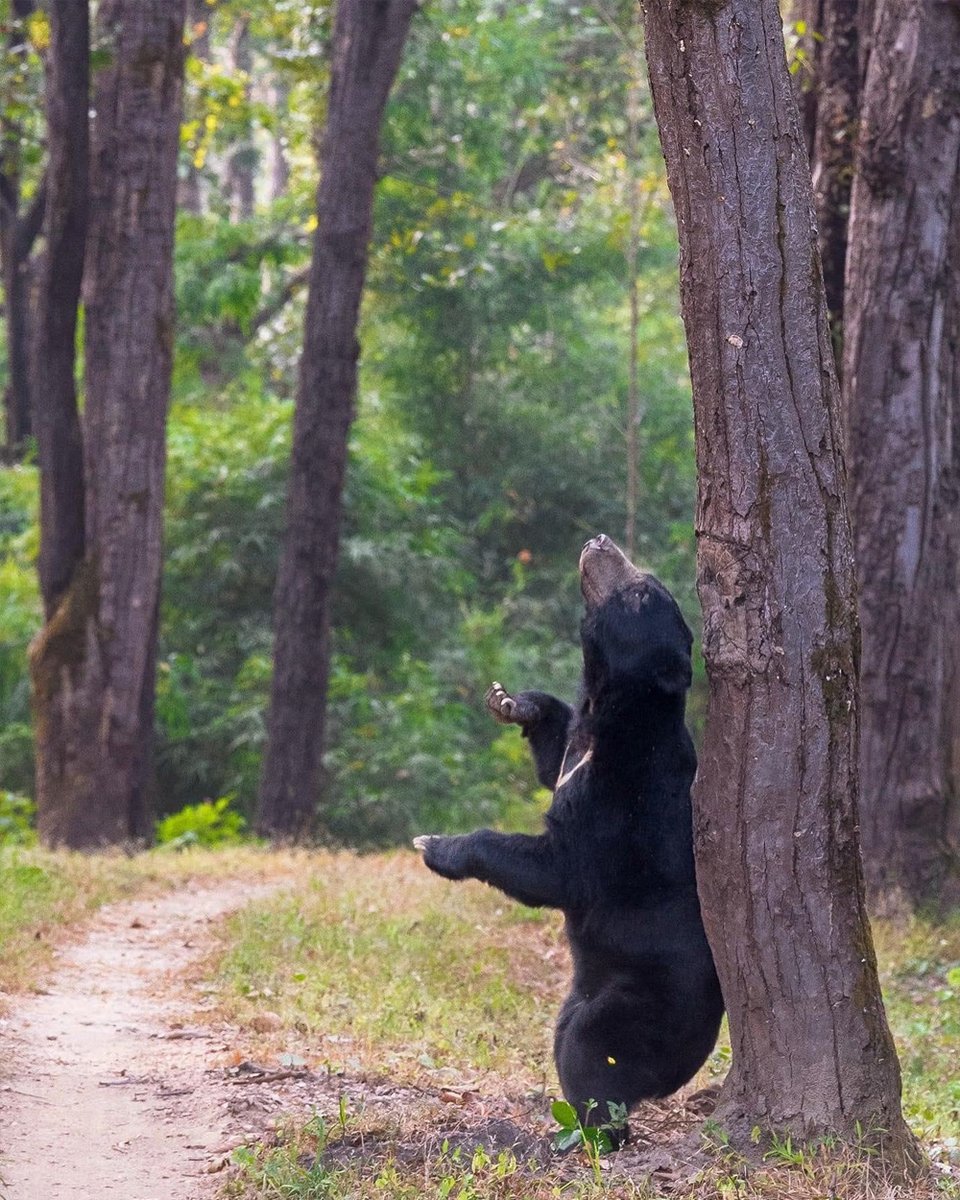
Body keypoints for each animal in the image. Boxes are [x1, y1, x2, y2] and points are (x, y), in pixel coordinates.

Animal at [414, 533, 724, 1142]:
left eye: (642, 592)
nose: (601, 540)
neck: (612, 709)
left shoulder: (621, 796)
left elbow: (561, 867)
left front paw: (435, 845)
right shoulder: (578, 750)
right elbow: (551, 753)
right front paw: (513, 701)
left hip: (641, 999)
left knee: (589, 1050)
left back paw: (596, 1128)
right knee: (566, 1036)